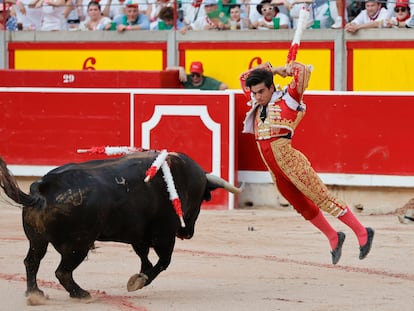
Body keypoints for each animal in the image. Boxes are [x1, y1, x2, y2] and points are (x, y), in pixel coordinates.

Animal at [0, 152, 241, 302]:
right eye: (201, 201)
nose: (187, 233)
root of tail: (41, 190)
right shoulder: (164, 235)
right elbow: (163, 262)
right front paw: (139, 281)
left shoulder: (139, 235)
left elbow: (145, 257)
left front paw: (138, 276)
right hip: (78, 246)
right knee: (63, 272)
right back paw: (81, 294)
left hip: (37, 240)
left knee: (32, 261)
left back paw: (35, 293)